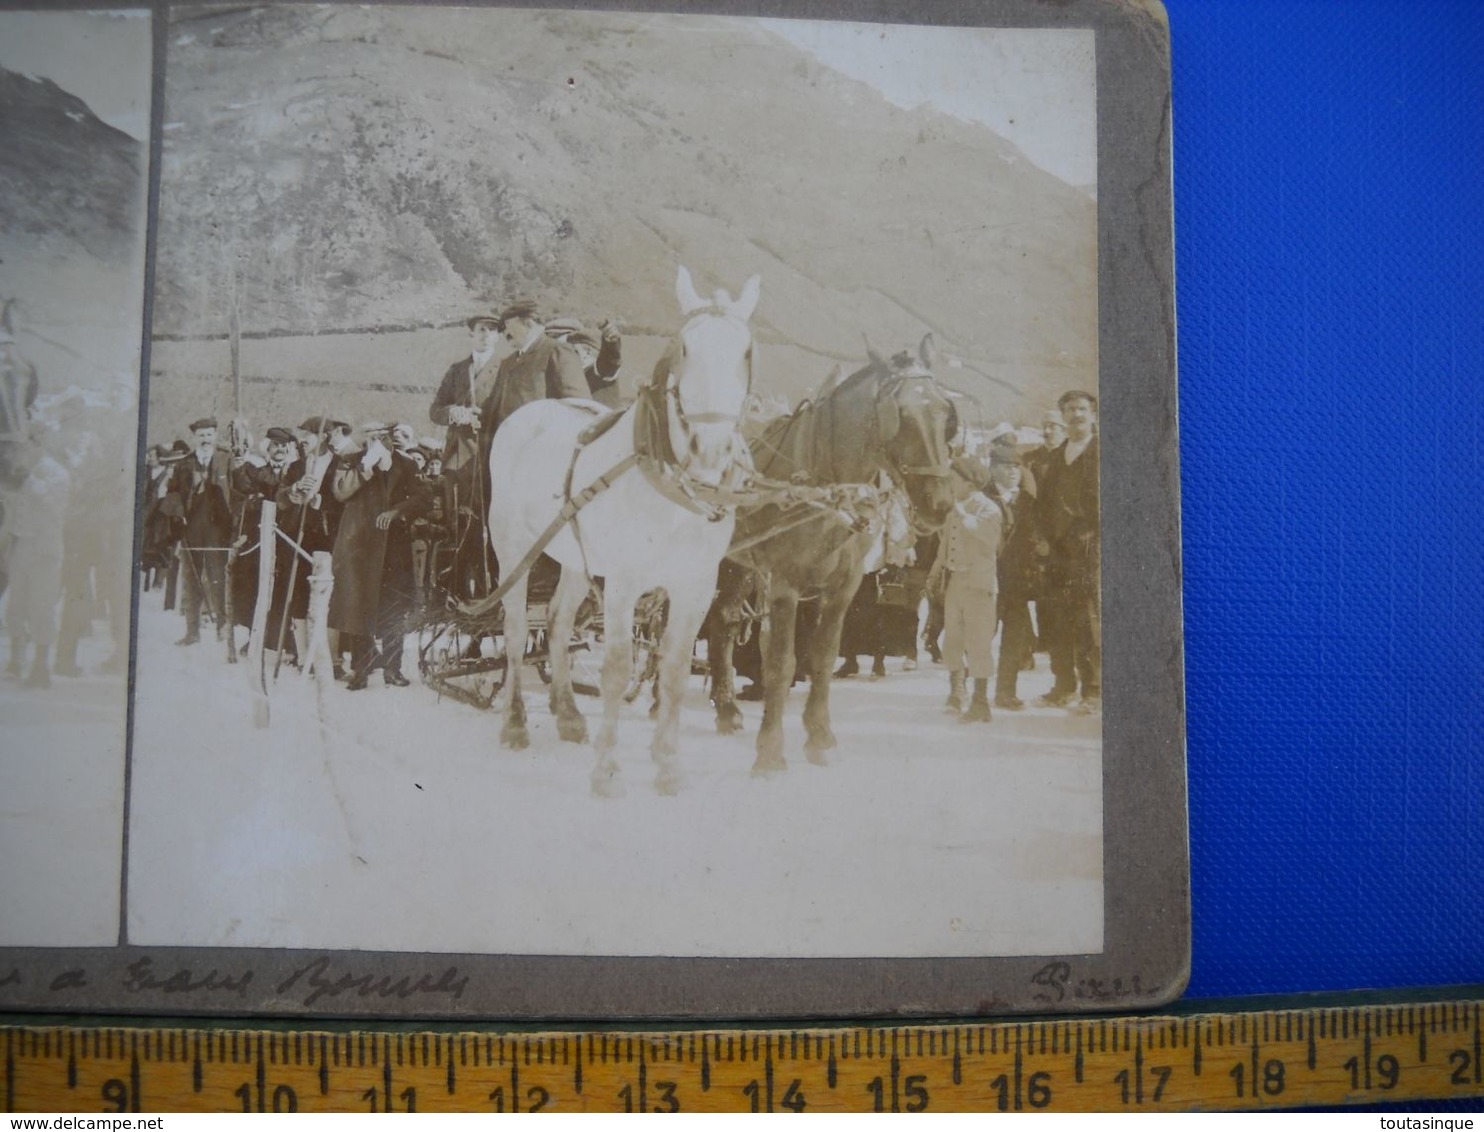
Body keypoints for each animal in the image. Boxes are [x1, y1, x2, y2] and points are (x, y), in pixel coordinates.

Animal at [489, 265, 765, 795]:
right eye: (685, 348)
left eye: (746, 351)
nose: (710, 448)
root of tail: (526, 415)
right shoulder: (623, 583)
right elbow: (617, 670)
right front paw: (607, 769)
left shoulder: (696, 585)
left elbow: (675, 669)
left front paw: (668, 764)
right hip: (514, 548)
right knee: (514, 631)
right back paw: (513, 724)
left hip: (575, 557)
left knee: (557, 624)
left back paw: (569, 715)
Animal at [709, 336, 961, 777]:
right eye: (901, 415)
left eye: (946, 413)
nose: (940, 503)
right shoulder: (786, 583)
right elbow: (781, 663)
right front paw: (770, 751)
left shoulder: (844, 586)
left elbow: (824, 657)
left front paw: (821, 739)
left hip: (742, 562)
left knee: (724, 620)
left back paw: (727, 710)